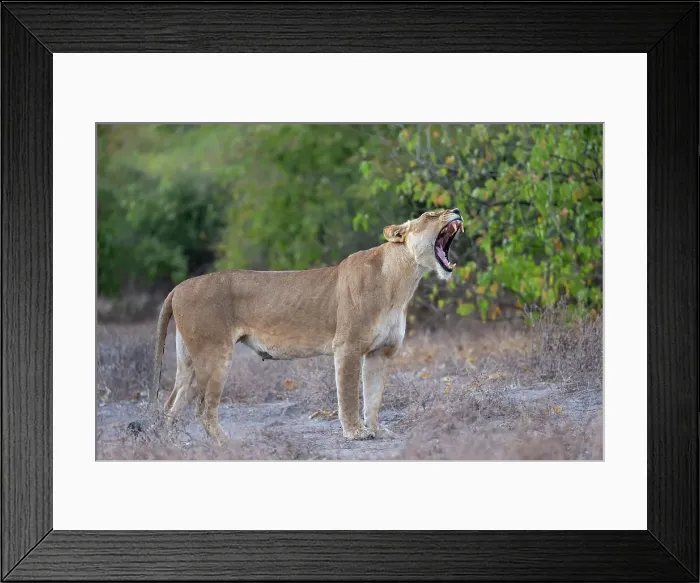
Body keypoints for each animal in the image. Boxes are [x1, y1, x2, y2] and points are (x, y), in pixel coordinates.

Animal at [149, 208, 464, 443]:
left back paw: (172, 444)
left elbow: (374, 396)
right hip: (214, 354)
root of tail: (179, 287)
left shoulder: (382, 352)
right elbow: (349, 394)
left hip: (189, 359)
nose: (457, 211)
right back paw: (225, 442)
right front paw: (355, 433)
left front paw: (376, 429)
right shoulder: (347, 347)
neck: (402, 281)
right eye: (431, 214)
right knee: (202, 407)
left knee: (172, 403)